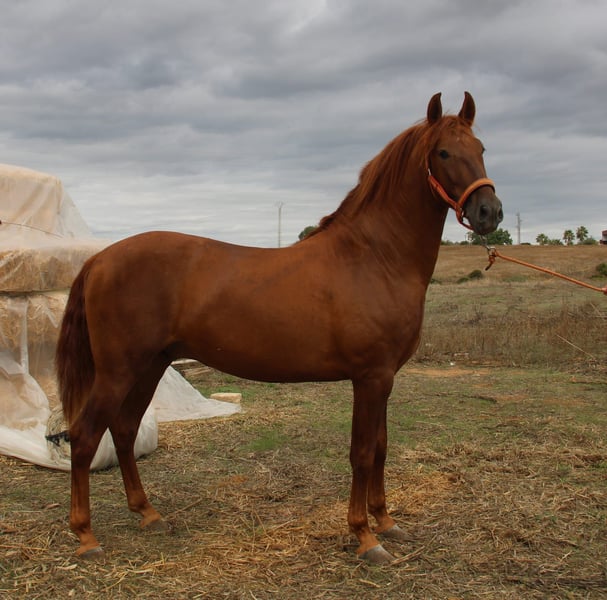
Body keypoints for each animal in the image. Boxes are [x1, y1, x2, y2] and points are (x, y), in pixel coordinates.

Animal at [56, 92, 503, 564]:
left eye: (481, 148)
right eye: (443, 153)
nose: (489, 212)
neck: (373, 258)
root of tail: (99, 259)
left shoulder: (385, 379)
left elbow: (381, 448)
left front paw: (387, 522)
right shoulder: (370, 377)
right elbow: (363, 453)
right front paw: (365, 536)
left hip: (151, 366)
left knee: (123, 430)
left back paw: (148, 514)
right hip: (117, 371)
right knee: (85, 437)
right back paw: (86, 535)